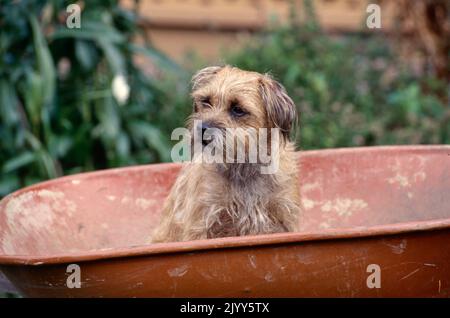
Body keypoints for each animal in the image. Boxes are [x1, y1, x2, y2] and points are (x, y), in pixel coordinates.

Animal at [152, 65, 302, 243]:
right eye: (206, 101)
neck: (243, 166)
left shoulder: (284, 217)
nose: (202, 129)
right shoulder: (201, 223)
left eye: (238, 110)